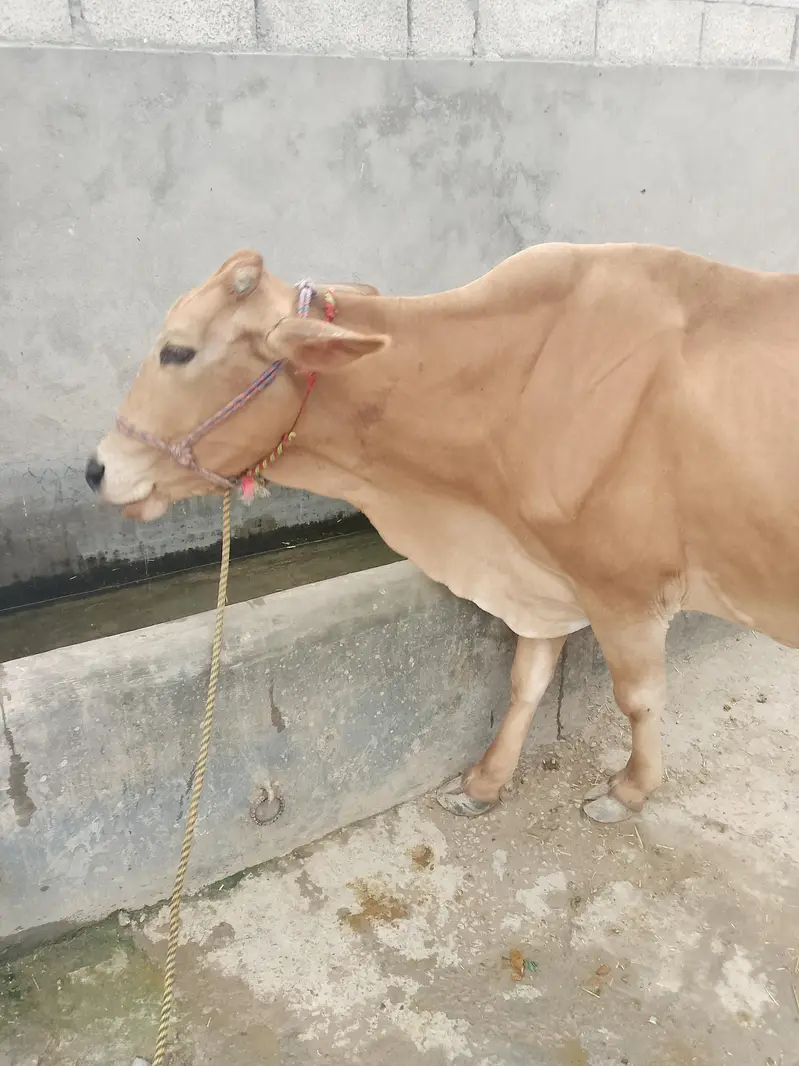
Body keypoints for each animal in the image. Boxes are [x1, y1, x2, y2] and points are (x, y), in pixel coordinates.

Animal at [86, 242, 799, 824]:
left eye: (177, 350)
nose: (97, 469)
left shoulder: (626, 591)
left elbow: (640, 698)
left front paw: (630, 791)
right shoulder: (542, 573)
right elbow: (526, 679)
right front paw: (484, 783)